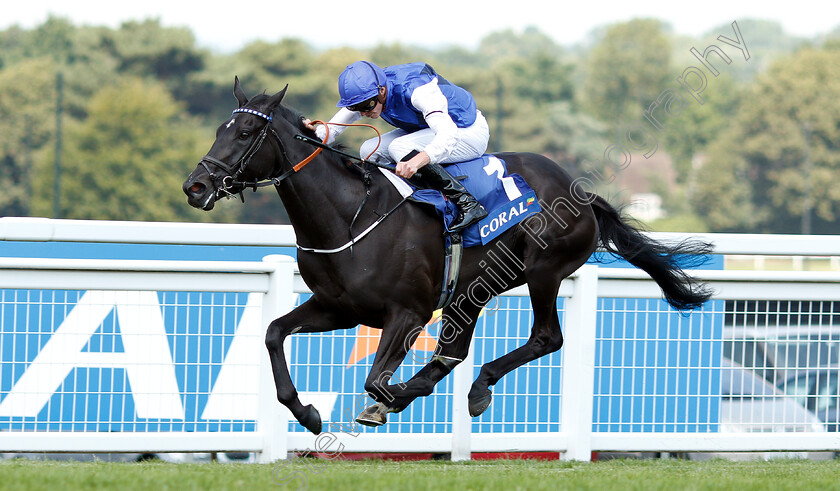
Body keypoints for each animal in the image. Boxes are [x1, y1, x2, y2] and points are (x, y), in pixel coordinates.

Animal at [180, 79, 712, 436]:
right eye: (219, 127)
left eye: (246, 131)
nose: (196, 186)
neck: (350, 216)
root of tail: (580, 191)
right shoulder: (338, 308)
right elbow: (274, 333)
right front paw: (308, 414)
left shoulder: (408, 312)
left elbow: (374, 379)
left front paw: (387, 398)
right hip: (470, 291)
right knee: (454, 352)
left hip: (542, 272)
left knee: (545, 337)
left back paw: (465, 391)